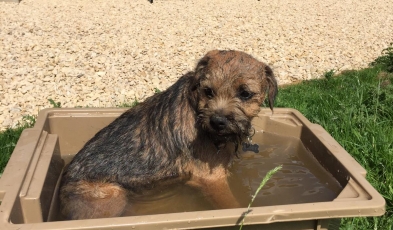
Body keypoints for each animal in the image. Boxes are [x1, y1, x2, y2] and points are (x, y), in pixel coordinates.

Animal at [59, 49, 278, 219]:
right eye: (208, 91)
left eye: (245, 94)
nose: (217, 122)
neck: (196, 108)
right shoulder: (212, 178)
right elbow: (234, 206)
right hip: (113, 195)